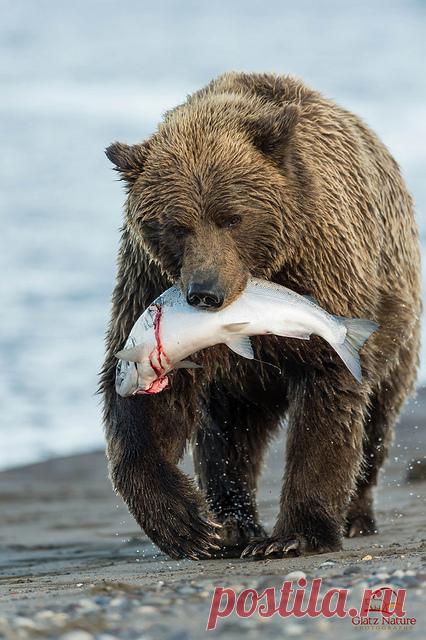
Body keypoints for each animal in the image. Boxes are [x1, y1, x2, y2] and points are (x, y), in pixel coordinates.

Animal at [100, 72, 421, 560]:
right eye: (177, 226)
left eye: (232, 217)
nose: (205, 293)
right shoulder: (146, 281)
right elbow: (150, 409)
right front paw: (188, 525)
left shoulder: (323, 270)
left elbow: (328, 396)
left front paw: (295, 534)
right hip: (238, 381)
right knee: (227, 434)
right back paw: (234, 524)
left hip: (396, 317)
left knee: (378, 419)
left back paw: (355, 515)